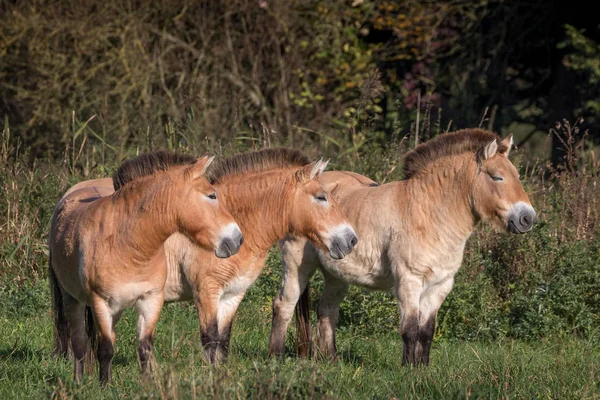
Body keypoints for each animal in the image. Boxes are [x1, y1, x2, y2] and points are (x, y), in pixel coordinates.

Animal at [47, 151, 244, 384]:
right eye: (212, 196)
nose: (237, 239)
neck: (128, 246)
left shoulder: (150, 300)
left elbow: (144, 348)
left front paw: (147, 384)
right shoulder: (101, 303)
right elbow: (105, 349)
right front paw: (104, 386)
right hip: (73, 300)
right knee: (78, 344)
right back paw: (78, 383)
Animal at [110, 148, 358, 364]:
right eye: (321, 197)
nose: (351, 240)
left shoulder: (234, 293)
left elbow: (223, 340)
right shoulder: (207, 291)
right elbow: (210, 338)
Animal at [270, 130, 536, 368]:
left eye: (517, 175)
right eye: (497, 177)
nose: (527, 218)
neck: (429, 213)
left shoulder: (440, 286)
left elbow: (426, 331)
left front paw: (423, 368)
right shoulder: (409, 281)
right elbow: (410, 329)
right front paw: (408, 370)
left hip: (337, 274)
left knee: (327, 310)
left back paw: (332, 361)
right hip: (297, 265)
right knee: (284, 304)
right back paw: (276, 357)